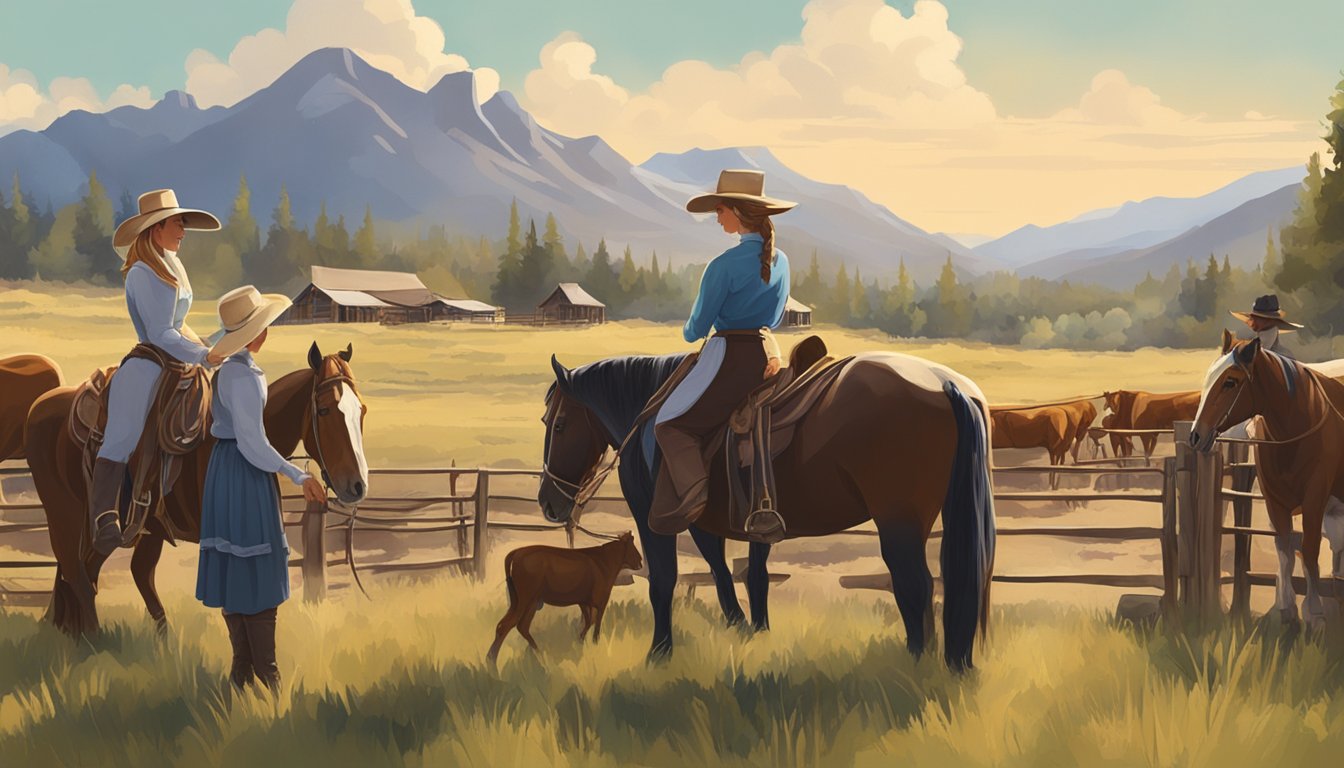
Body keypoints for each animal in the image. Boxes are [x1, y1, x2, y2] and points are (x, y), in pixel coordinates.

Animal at [26, 342, 370, 637]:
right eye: (324, 410)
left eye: (362, 410)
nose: (356, 486)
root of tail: (41, 405)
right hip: (65, 514)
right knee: (78, 572)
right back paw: (94, 640)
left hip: (131, 526)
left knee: (113, 571)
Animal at [489, 532, 645, 664]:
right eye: (632, 546)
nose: (640, 561)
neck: (603, 561)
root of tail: (516, 552)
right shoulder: (601, 601)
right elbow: (596, 623)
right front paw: (594, 643)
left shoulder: (584, 602)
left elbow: (589, 621)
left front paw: (580, 642)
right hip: (525, 600)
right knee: (506, 625)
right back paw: (492, 661)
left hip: (528, 602)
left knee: (520, 626)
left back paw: (538, 654)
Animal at [537, 352, 999, 669]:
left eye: (558, 424)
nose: (548, 502)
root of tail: (945, 383)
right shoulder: (727, 521)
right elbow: (740, 574)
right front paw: (748, 628)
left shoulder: (656, 520)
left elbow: (663, 581)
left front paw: (659, 652)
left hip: (899, 522)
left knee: (914, 585)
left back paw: (914, 661)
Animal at [1193, 328, 1344, 626]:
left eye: (1230, 382)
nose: (1195, 435)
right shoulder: (1275, 498)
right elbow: (1284, 548)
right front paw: (1285, 609)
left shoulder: (1315, 497)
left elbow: (1309, 549)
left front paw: (1314, 612)